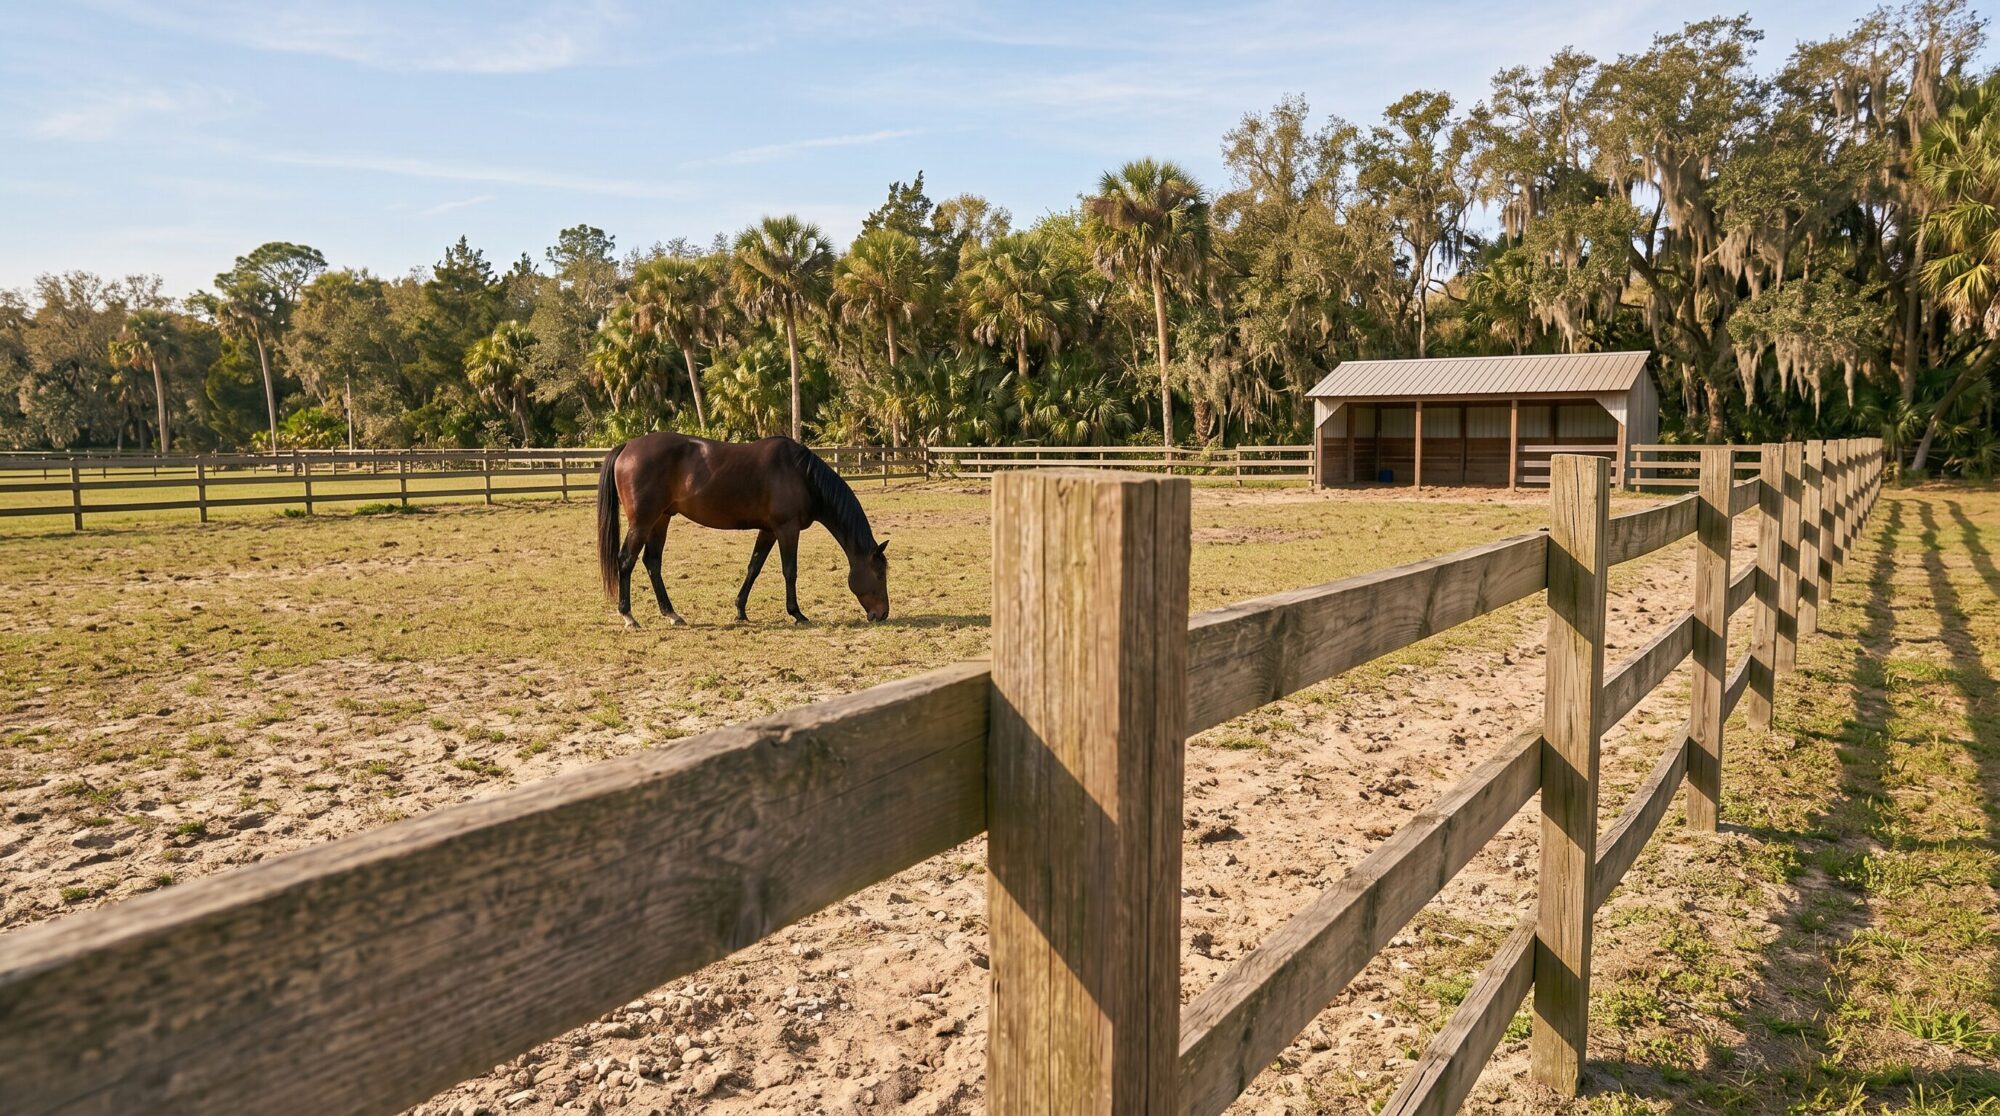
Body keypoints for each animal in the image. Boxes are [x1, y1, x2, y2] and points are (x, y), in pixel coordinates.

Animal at [596, 432, 889, 628]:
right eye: (879, 573)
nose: (882, 614)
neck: (801, 475)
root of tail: (627, 447)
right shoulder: (787, 529)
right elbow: (790, 571)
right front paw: (797, 614)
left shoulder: (769, 530)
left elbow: (754, 568)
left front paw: (740, 611)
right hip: (643, 521)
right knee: (626, 560)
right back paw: (629, 616)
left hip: (661, 520)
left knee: (652, 562)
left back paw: (672, 614)